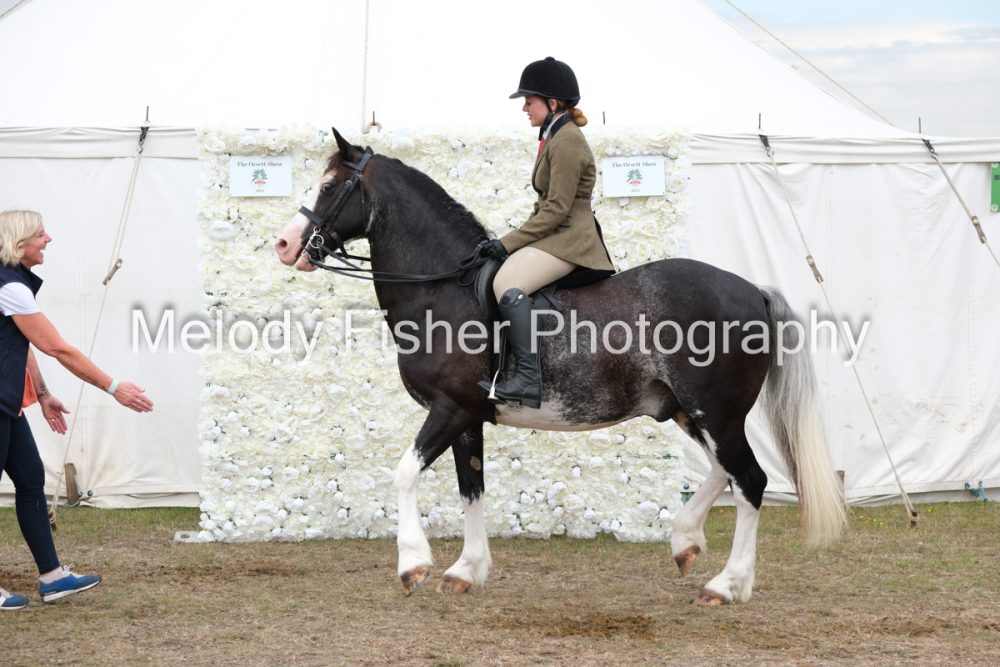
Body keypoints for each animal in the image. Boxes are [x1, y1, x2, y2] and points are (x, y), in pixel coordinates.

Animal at [274, 128, 847, 604]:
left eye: (329, 186)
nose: (285, 244)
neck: (442, 288)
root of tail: (752, 289)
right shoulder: (468, 417)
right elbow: (471, 488)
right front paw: (466, 570)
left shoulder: (449, 408)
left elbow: (404, 474)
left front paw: (412, 564)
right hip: (690, 411)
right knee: (725, 473)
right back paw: (685, 540)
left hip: (717, 411)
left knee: (748, 479)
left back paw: (727, 585)